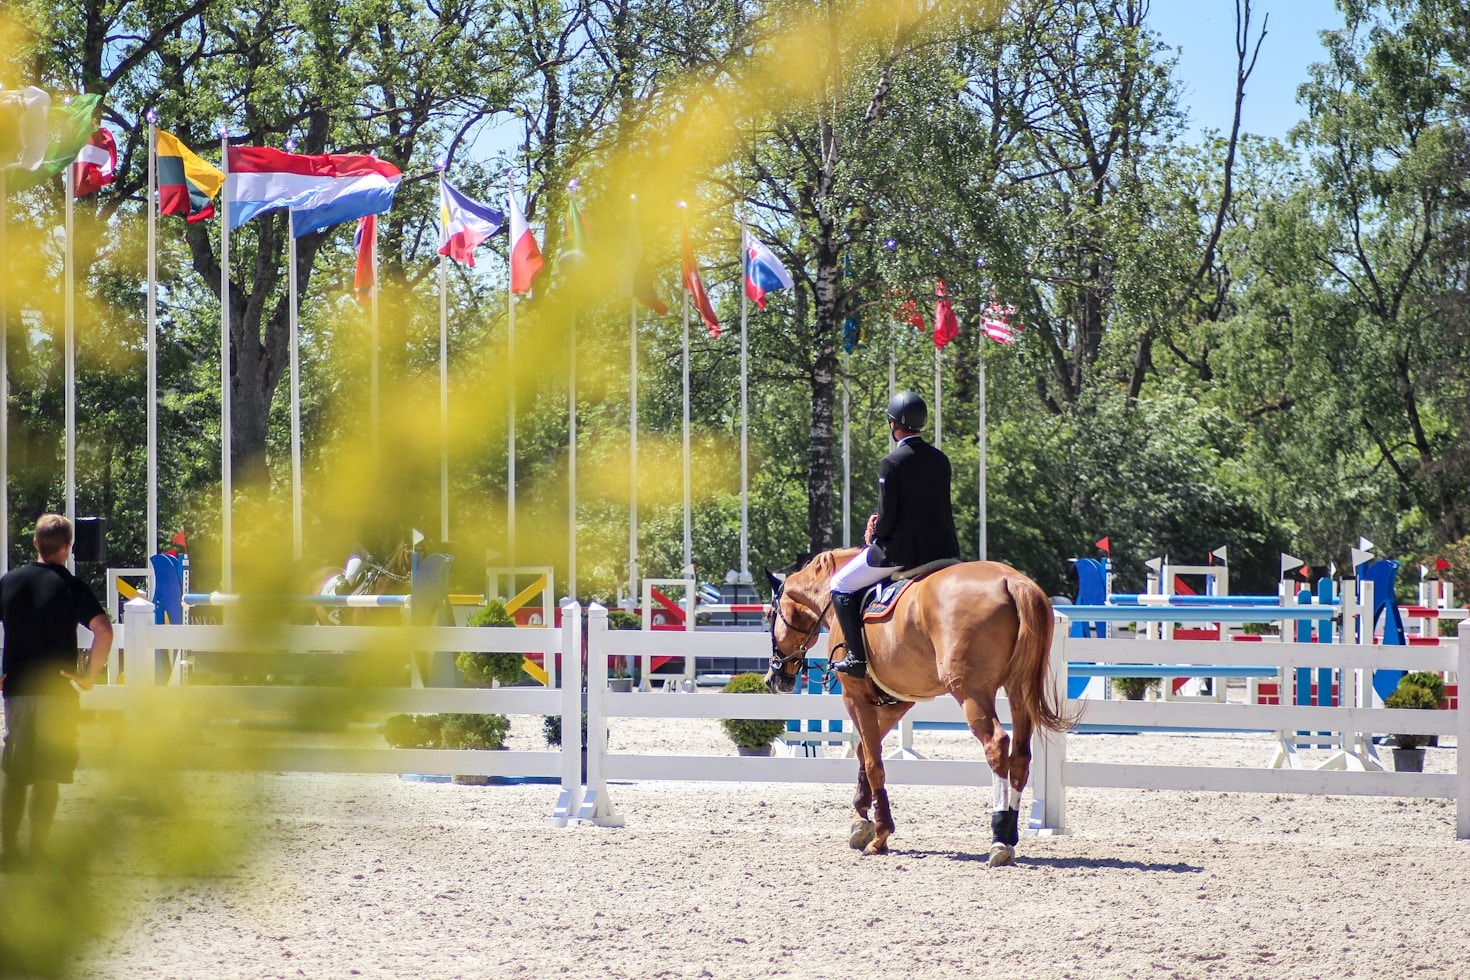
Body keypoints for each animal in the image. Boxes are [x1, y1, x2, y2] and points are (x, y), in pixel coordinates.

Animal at [764, 548, 1074, 865]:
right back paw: (1010, 833)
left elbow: (873, 761)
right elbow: (864, 751)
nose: (774, 678)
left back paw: (999, 838)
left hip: (971, 693)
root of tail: (1012, 581)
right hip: (1018, 690)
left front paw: (879, 835)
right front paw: (861, 821)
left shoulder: (855, 696)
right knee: (1021, 756)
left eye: (769, 616)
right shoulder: (898, 700)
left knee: (997, 745)